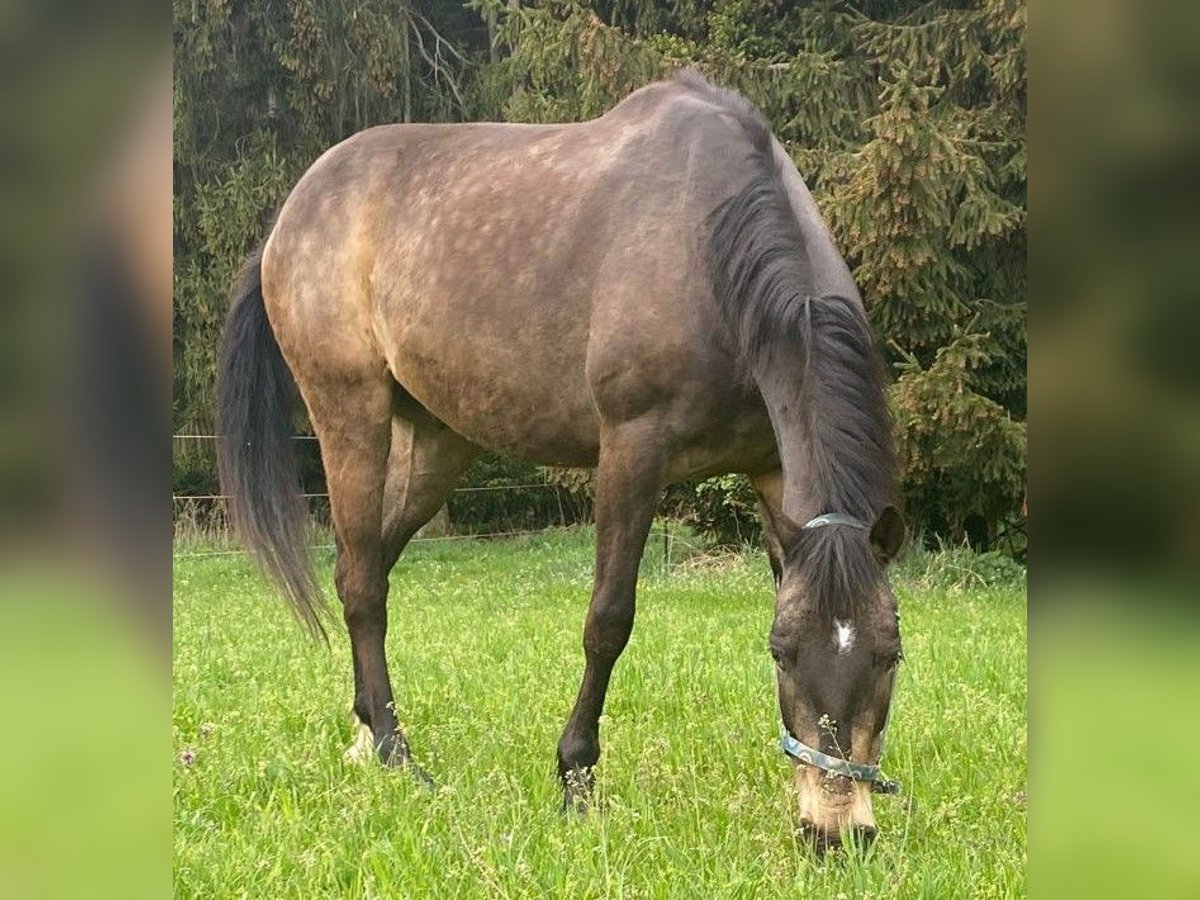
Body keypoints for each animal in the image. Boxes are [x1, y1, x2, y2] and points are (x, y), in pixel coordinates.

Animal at [220, 70, 902, 854]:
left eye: (890, 655)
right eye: (783, 654)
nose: (837, 832)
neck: (711, 250)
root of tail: (287, 218)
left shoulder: (773, 472)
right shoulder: (632, 451)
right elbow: (608, 619)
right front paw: (576, 776)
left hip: (438, 445)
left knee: (369, 568)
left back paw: (366, 733)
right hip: (349, 414)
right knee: (361, 582)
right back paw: (398, 756)